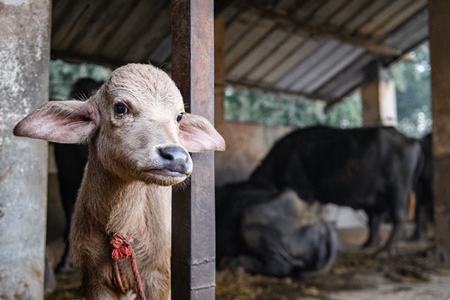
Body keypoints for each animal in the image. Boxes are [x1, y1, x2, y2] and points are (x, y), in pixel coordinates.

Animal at [248, 125, 424, 252]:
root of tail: (410, 140)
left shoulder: (303, 192)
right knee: (375, 218)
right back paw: (370, 243)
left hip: (397, 189)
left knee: (398, 216)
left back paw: (386, 248)